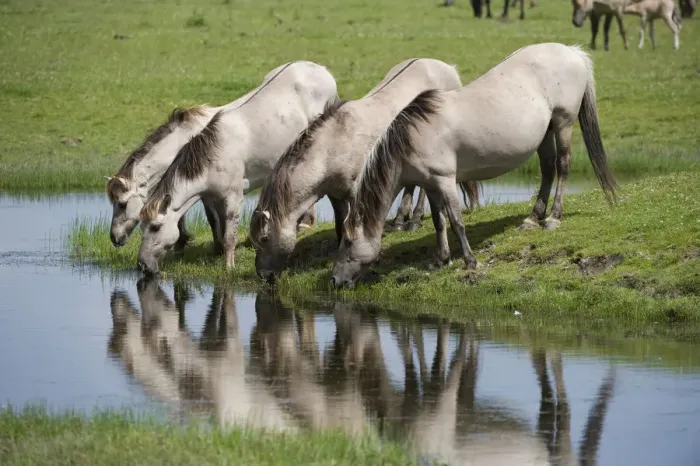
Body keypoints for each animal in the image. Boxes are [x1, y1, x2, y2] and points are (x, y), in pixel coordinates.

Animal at [135, 61, 338, 276]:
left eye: (155, 227)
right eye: (141, 227)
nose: (142, 265)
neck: (214, 157)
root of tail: (321, 69)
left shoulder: (233, 199)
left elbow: (229, 237)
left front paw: (229, 267)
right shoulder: (214, 199)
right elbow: (219, 228)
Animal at [249, 58, 463, 284]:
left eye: (264, 238)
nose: (263, 275)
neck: (331, 147)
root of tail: (448, 69)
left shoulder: (355, 193)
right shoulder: (336, 195)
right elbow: (339, 226)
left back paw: (413, 220)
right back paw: (399, 221)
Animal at [332, 43, 618, 290]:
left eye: (348, 241)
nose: (335, 281)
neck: (412, 137)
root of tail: (572, 51)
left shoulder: (445, 180)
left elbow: (456, 221)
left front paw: (470, 261)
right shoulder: (430, 184)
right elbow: (439, 221)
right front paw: (441, 259)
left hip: (563, 123)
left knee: (563, 165)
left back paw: (554, 217)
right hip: (545, 132)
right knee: (547, 169)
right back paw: (533, 218)